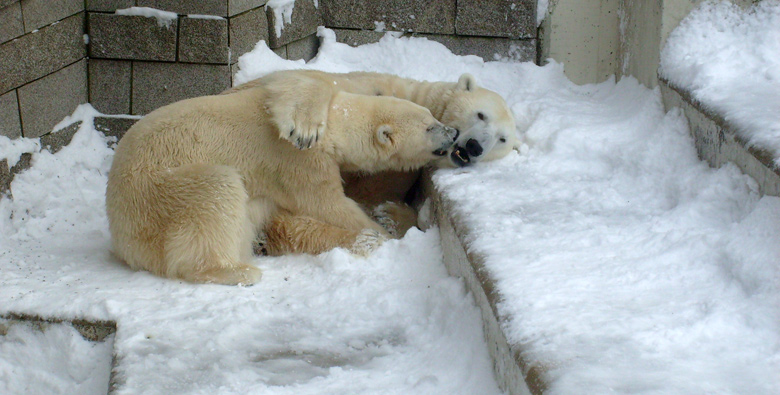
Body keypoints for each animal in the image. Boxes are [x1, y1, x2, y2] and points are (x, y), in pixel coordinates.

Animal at [103, 85, 458, 286]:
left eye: (433, 116)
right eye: (430, 127)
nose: (454, 132)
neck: (326, 119)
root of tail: (120, 239)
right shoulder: (296, 159)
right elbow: (328, 204)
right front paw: (378, 232)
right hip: (156, 195)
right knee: (216, 192)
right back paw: (238, 271)